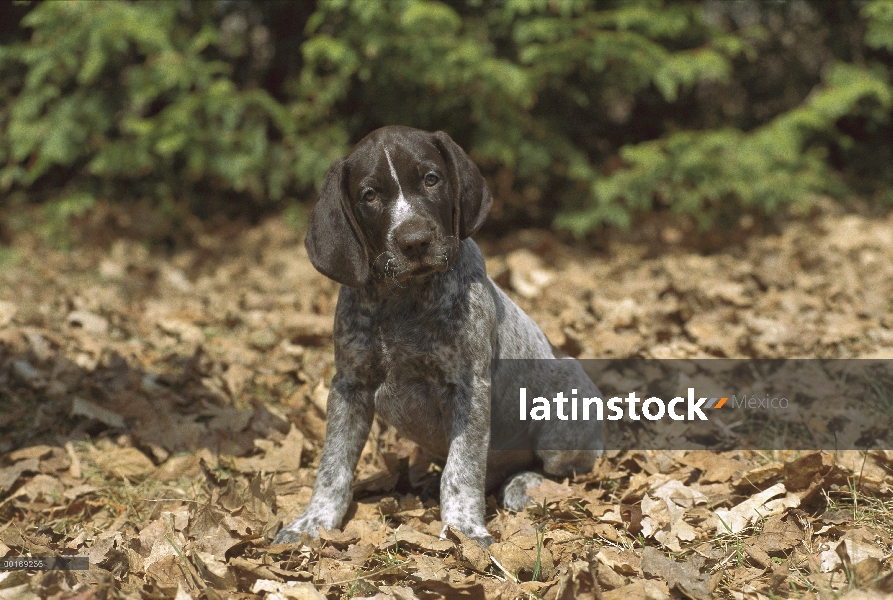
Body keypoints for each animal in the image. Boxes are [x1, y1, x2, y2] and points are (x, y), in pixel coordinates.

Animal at [276, 124, 604, 548]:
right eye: (369, 195)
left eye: (432, 180)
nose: (415, 241)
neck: (403, 301)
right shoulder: (350, 386)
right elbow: (333, 465)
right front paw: (313, 521)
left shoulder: (467, 388)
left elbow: (462, 469)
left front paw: (464, 529)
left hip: (567, 404)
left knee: (565, 469)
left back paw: (523, 484)